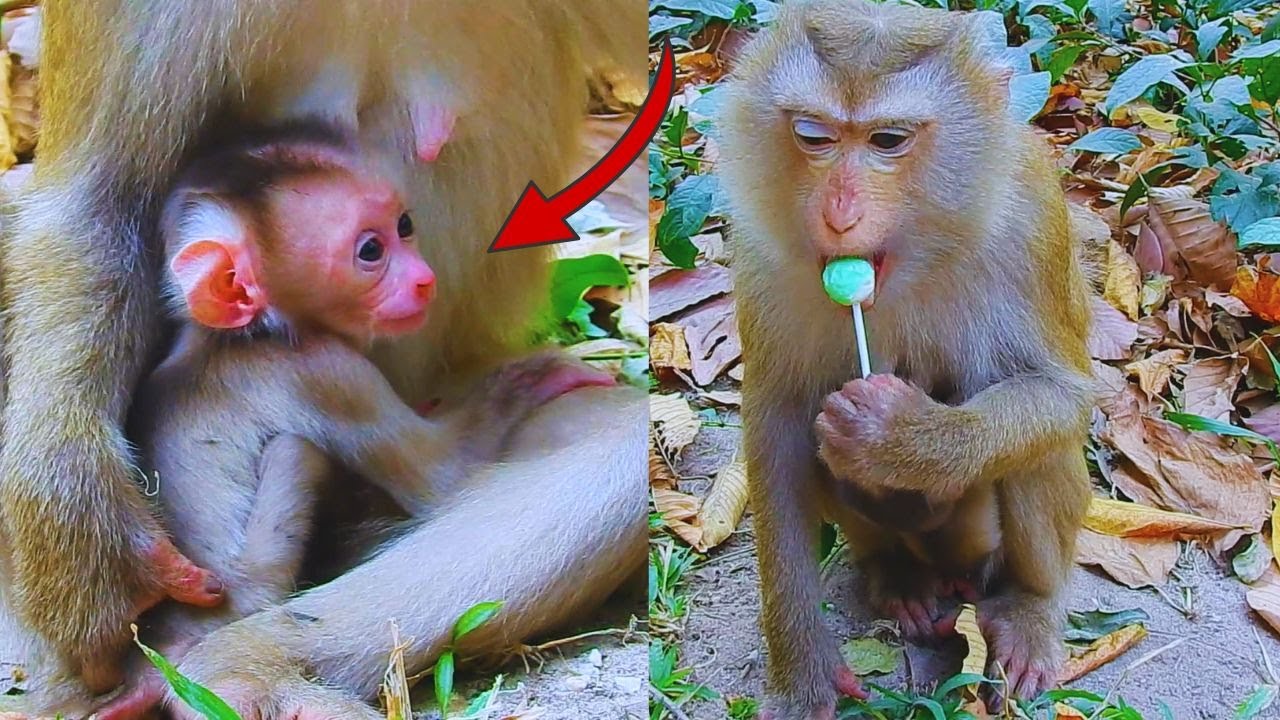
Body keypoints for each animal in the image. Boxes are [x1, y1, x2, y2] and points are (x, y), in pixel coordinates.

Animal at [0, 1, 646, 716]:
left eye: (405, 228)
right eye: (370, 251)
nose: (422, 281)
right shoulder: (327, 373)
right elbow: (99, 201)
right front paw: (77, 526)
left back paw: (248, 667)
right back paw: (241, 669)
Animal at [716, 1, 1093, 716]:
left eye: (888, 141)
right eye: (813, 135)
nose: (839, 214)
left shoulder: (1032, 219)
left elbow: (1065, 395)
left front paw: (902, 437)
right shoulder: (757, 250)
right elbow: (779, 423)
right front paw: (801, 665)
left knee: (1038, 448)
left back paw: (1030, 608)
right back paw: (897, 576)